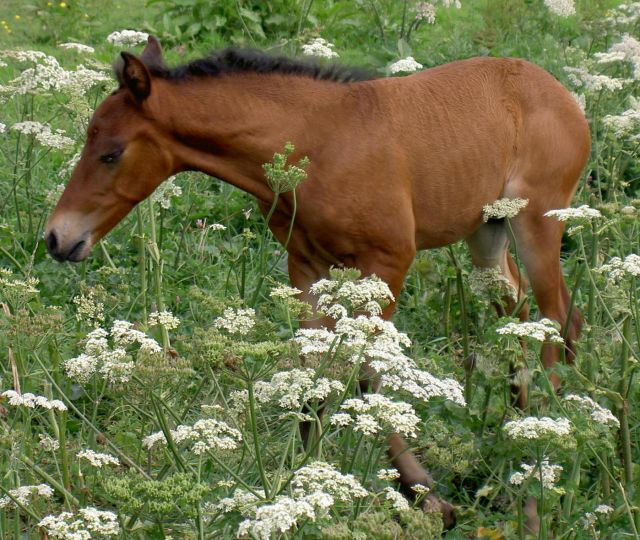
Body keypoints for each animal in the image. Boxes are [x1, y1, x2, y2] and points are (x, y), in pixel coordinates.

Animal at [46, 34, 592, 524]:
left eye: (111, 152)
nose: (57, 238)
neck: (319, 141)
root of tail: (559, 92)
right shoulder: (306, 267)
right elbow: (313, 372)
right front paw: (305, 484)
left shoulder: (388, 262)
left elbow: (367, 372)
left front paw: (425, 493)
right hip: (488, 233)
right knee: (523, 322)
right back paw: (521, 434)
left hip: (539, 221)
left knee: (556, 320)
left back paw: (543, 466)